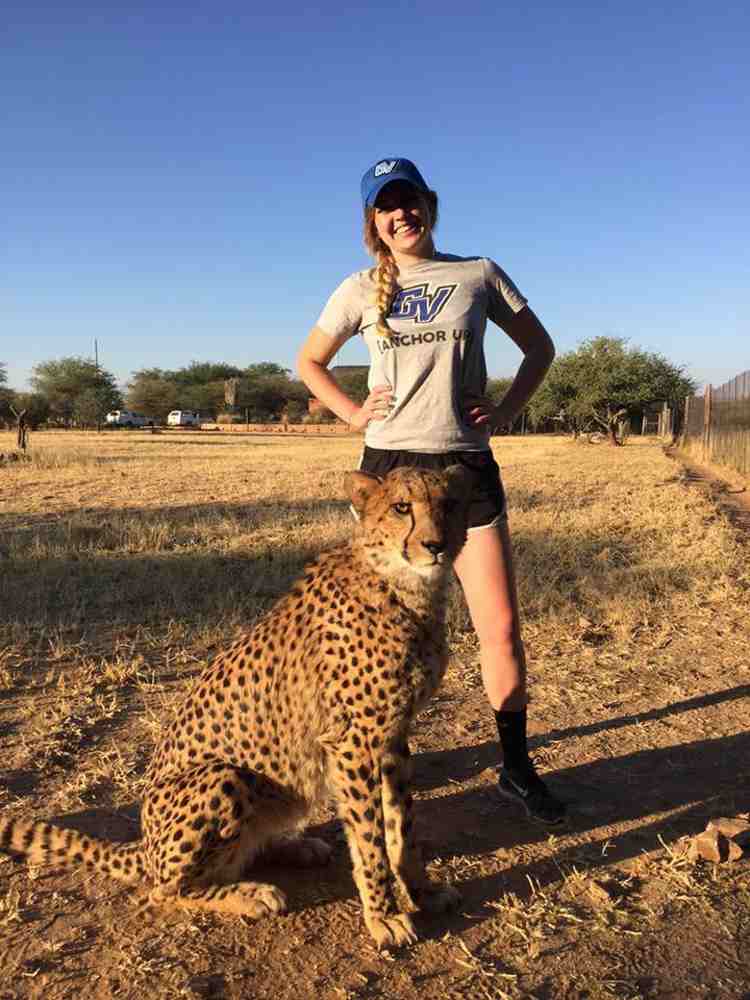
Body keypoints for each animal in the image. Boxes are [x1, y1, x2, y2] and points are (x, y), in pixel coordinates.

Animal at [0, 465, 473, 949]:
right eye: (402, 507)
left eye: (450, 504)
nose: (435, 545)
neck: (401, 585)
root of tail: (143, 846)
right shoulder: (353, 743)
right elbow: (370, 837)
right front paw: (384, 915)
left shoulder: (393, 737)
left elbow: (402, 828)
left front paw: (423, 891)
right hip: (222, 777)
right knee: (165, 889)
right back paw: (250, 894)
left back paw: (296, 846)